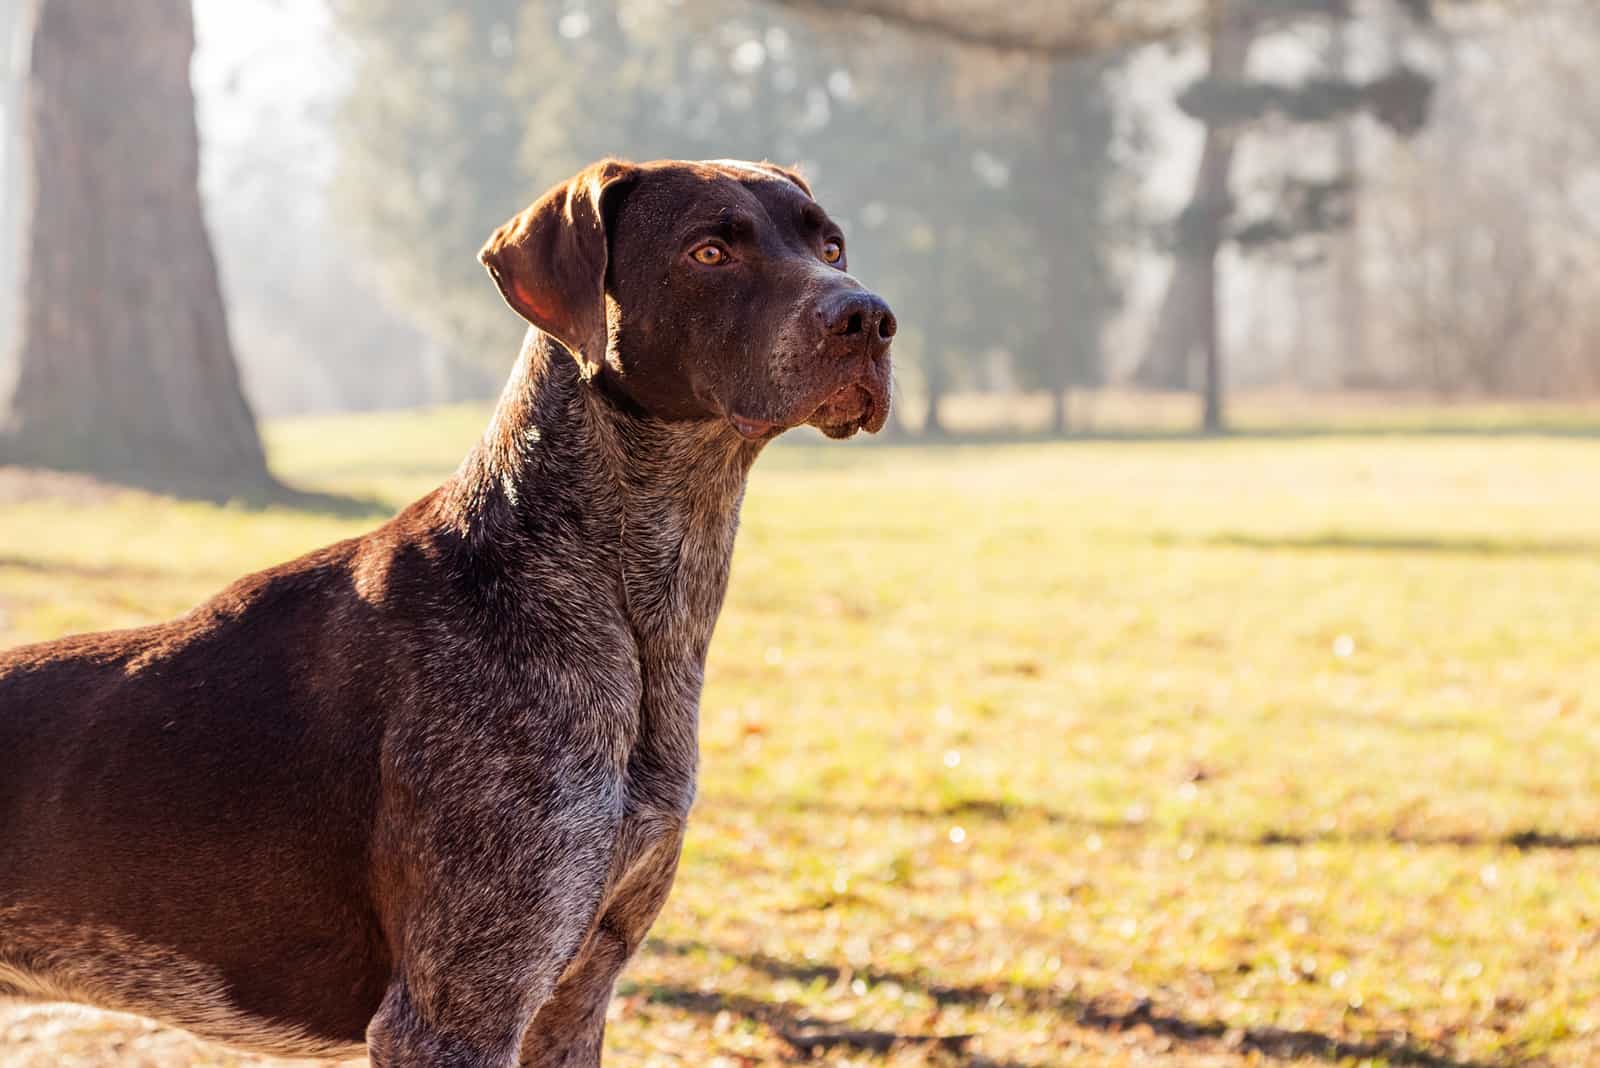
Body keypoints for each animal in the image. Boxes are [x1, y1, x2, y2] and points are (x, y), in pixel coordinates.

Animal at [0, 160, 896, 1068]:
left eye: (831, 245)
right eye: (710, 251)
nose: (869, 318)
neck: (627, 606)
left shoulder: (574, 1002)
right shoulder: (453, 1015)